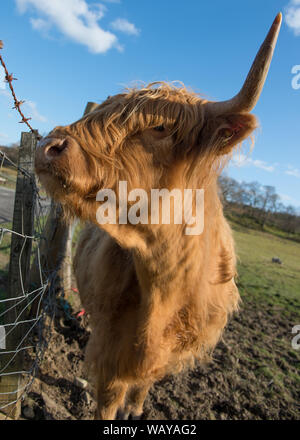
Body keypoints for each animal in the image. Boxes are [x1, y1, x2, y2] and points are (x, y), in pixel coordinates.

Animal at [34, 12, 282, 420]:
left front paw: (135, 410)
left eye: (161, 128)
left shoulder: (168, 352)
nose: (47, 146)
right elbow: (109, 395)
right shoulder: (109, 346)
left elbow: (143, 383)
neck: (165, 286)